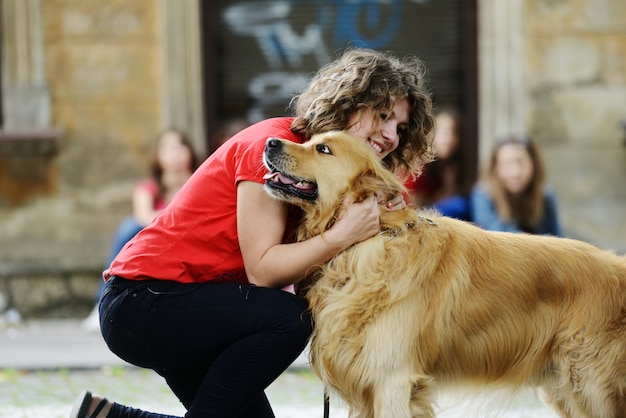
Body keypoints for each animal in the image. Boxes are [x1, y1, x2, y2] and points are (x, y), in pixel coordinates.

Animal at [260, 131, 624, 418]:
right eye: (309, 140)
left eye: (323, 149)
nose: (269, 142)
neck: (372, 238)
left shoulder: (392, 381)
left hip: (590, 386)